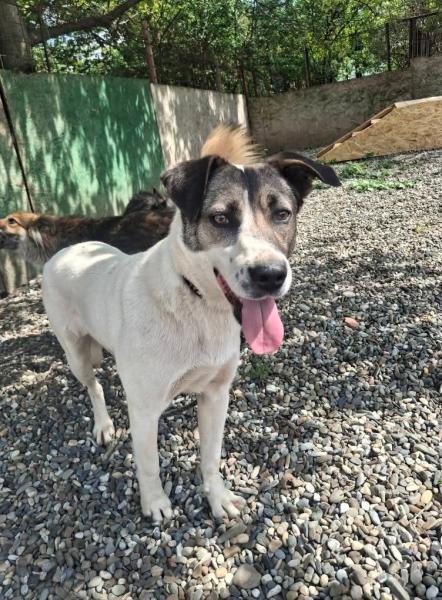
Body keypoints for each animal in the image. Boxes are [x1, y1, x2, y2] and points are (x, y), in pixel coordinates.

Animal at [42, 125, 340, 521]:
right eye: (220, 218)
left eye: (282, 213)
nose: (270, 275)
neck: (197, 302)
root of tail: (66, 250)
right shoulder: (145, 409)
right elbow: (148, 464)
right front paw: (155, 503)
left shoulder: (216, 394)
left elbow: (210, 457)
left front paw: (218, 498)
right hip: (76, 352)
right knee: (93, 385)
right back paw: (104, 425)